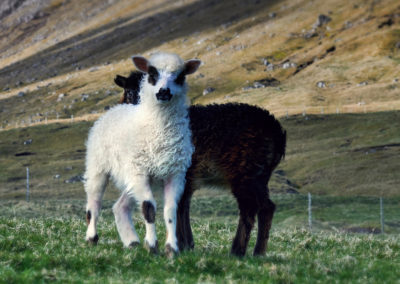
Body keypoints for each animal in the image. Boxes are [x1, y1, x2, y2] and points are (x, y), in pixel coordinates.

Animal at [85, 51, 202, 258]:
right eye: (152, 73)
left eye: (180, 76)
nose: (164, 92)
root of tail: (116, 109)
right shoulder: (140, 172)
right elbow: (149, 208)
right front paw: (152, 246)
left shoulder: (175, 174)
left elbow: (170, 210)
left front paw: (171, 248)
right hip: (98, 166)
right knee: (94, 204)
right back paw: (92, 237)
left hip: (133, 176)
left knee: (120, 206)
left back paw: (131, 241)